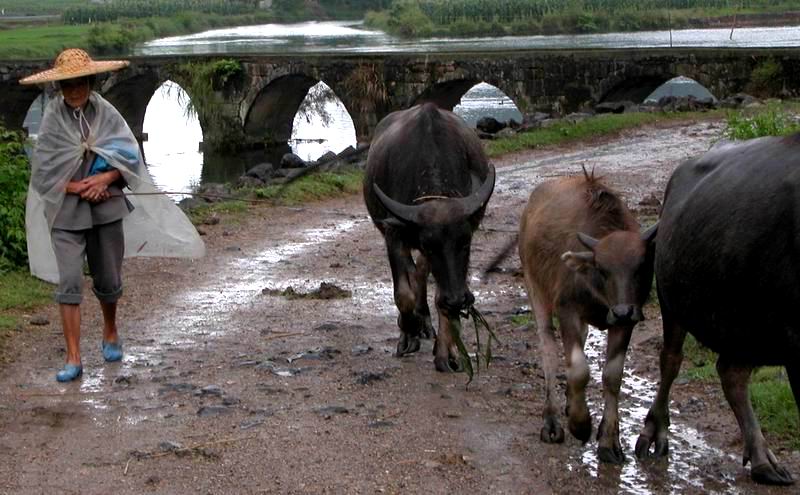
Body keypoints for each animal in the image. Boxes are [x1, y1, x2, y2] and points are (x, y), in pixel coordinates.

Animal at [366, 101, 496, 372]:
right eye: (429, 244)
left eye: (465, 242)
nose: (458, 300)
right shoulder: (394, 236)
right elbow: (403, 294)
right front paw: (408, 334)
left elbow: (438, 295)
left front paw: (447, 353)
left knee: (421, 274)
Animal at [520, 171, 656, 464]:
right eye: (602, 269)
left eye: (640, 267)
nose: (622, 311)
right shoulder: (567, 310)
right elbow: (579, 369)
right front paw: (581, 425)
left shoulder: (624, 324)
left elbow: (612, 376)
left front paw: (609, 442)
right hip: (535, 288)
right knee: (548, 349)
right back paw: (552, 421)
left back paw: (570, 403)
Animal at [636, 134, 800, 486]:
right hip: (673, 301)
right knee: (671, 360)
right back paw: (654, 433)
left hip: (744, 321)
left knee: (731, 372)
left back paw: (762, 459)